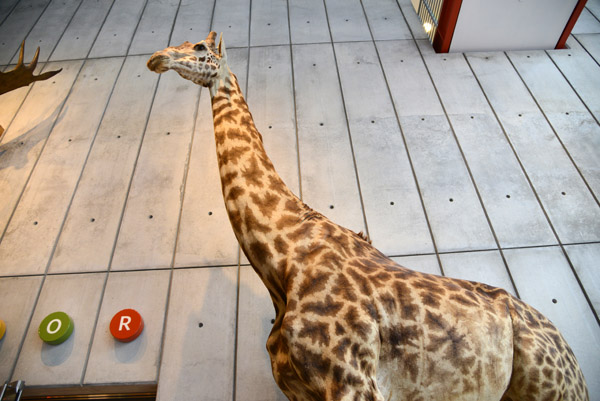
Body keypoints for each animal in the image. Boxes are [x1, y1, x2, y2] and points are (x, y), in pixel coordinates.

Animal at [148, 32, 588, 400]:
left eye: (199, 47)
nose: (157, 57)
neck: (283, 261)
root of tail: (574, 360)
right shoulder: (299, 390)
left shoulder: (354, 383)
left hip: (554, 391)